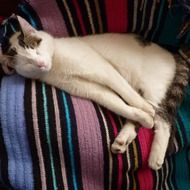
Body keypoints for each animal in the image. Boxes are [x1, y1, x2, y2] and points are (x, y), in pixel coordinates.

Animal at [0, 15, 189, 170]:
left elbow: (126, 94)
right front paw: (142, 115)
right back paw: (125, 138)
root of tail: (172, 54)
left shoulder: (104, 71)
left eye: (37, 50)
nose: (40, 64)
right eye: (28, 63)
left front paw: (145, 110)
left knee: (164, 119)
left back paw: (155, 155)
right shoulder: (89, 89)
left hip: (151, 87)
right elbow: (118, 104)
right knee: (151, 119)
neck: (56, 66)